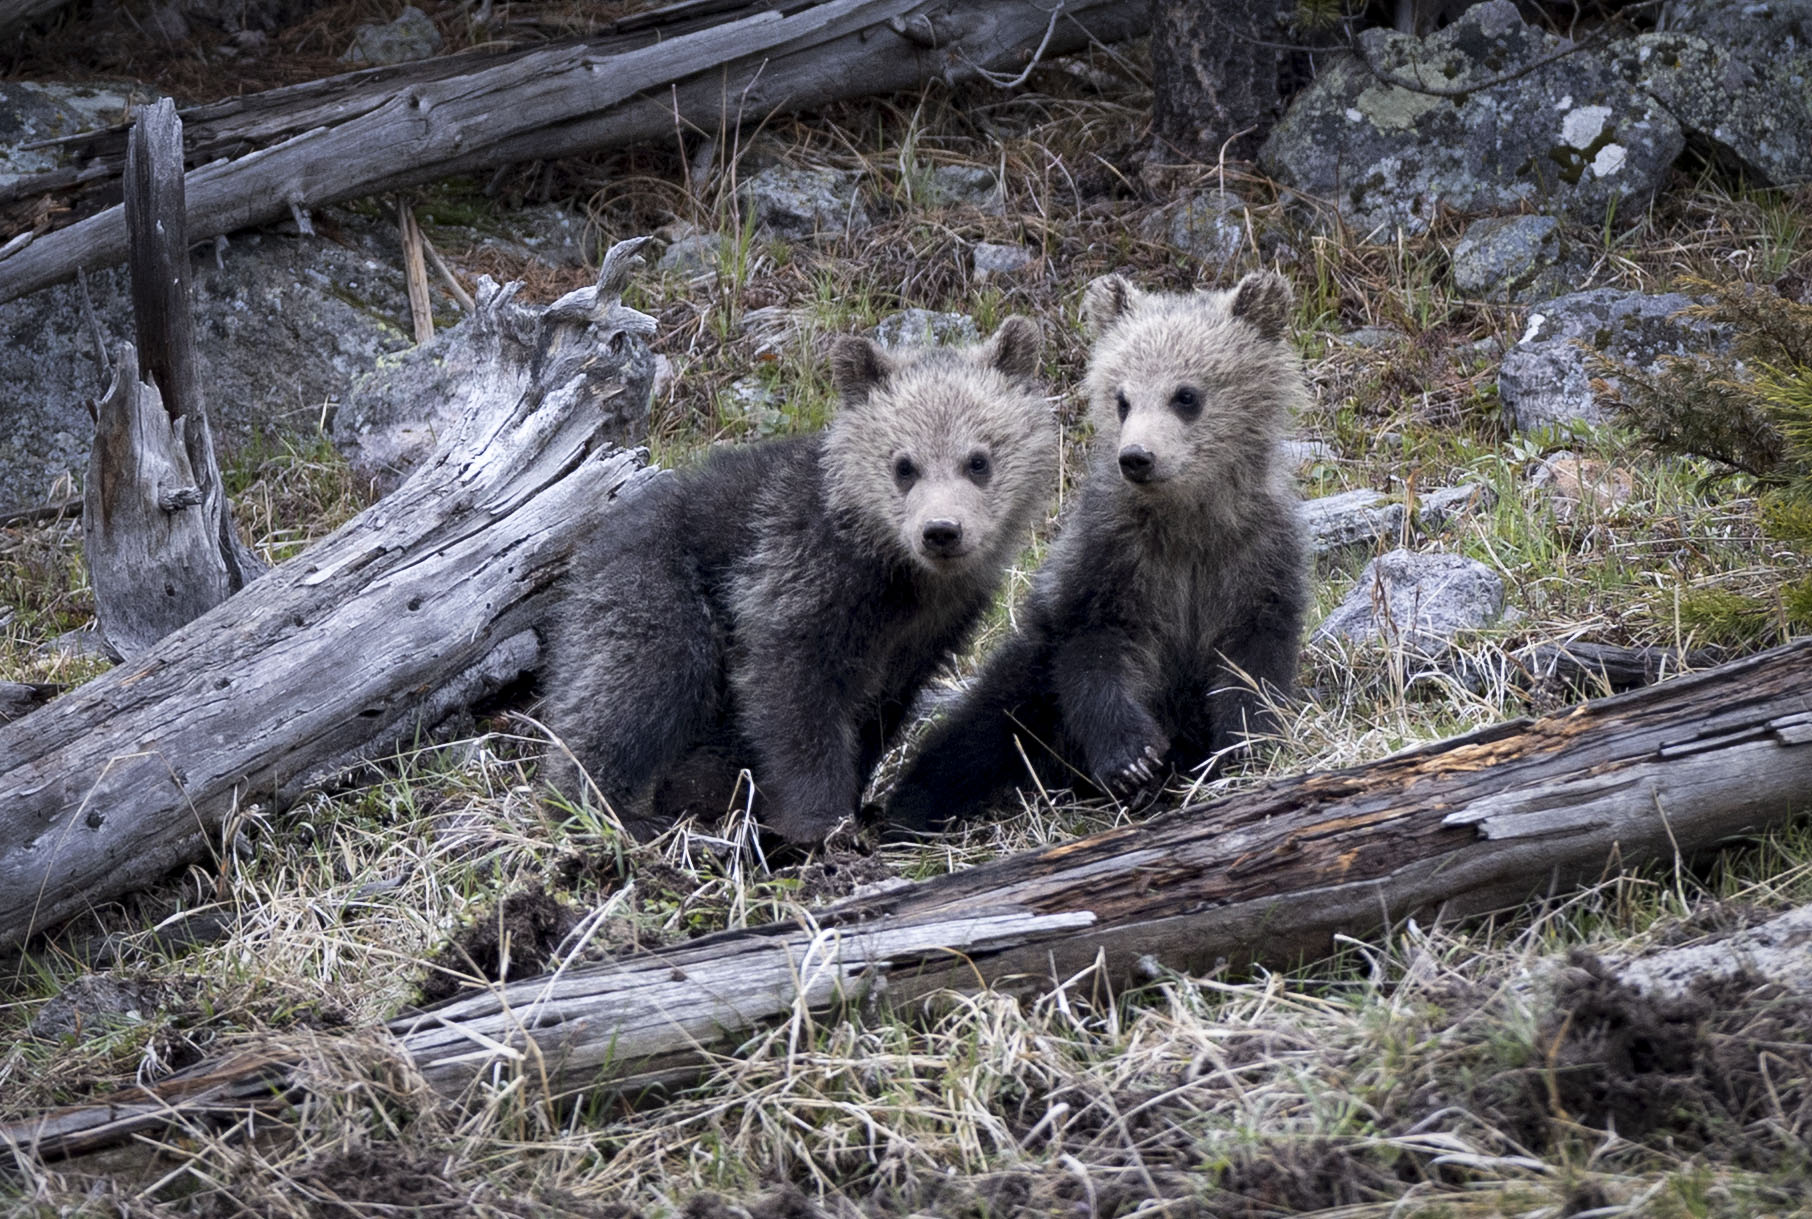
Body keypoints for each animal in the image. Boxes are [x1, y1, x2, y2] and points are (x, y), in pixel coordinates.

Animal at [541, 316, 1058, 845]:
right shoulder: (796, 577)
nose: (941, 531)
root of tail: (592, 542)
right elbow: (793, 696)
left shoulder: (929, 629)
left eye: (978, 460)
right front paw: (819, 820)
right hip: (654, 582)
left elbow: (880, 709)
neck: (895, 572)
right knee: (640, 677)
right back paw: (609, 809)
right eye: (904, 465)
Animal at [884, 270, 1309, 832]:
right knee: (977, 736)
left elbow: (1252, 664)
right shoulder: (1109, 561)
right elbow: (1095, 655)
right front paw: (1134, 760)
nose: (1137, 457)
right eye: (1122, 398)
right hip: (1027, 681)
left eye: (1186, 395)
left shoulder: (1255, 558)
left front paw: (1244, 748)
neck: (1187, 525)